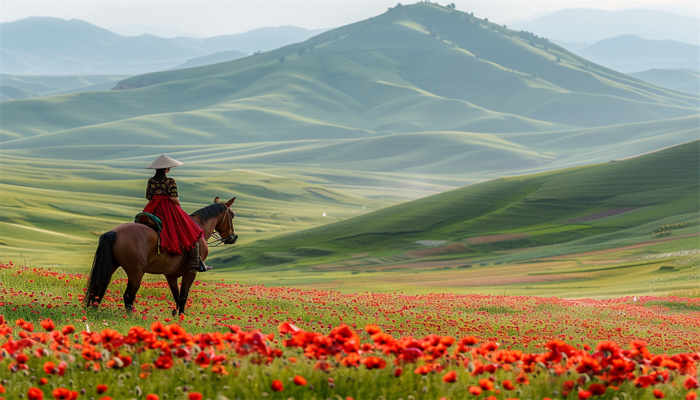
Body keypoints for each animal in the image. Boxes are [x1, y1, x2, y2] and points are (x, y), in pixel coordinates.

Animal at [83, 197, 238, 316]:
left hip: (111, 266)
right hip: (136, 273)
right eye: (232, 215)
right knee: (128, 295)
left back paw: (93, 310)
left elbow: (176, 296)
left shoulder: (171, 275)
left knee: (98, 288)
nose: (233, 237)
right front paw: (181, 316)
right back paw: (130, 317)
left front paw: (175, 314)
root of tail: (114, 232)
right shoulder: (190, 272)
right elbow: (183, 296)